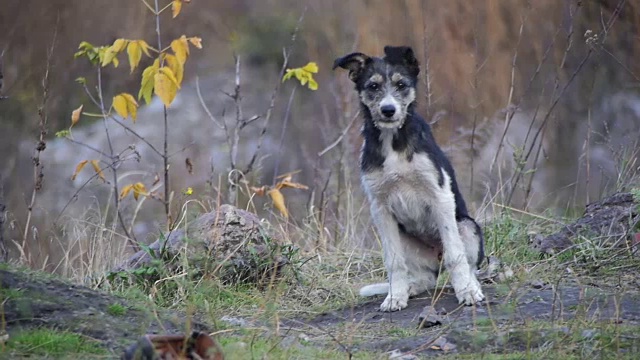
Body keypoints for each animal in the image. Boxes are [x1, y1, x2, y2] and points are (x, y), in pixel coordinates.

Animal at [336, 45, 484, 310]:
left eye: (401, 84)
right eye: (373, 86)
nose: (388, 110)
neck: (393, 140)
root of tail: (436, 258)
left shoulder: (440, 196)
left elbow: (456, 256)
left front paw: (466, 292)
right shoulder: (380, 208)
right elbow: (394, 262)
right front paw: (395, 297)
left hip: (467, 226)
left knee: (468, 266)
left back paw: (470, 286)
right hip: (405, 239)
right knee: (425, 277)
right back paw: (409, 288)